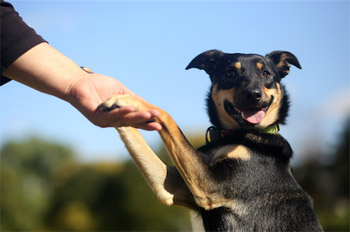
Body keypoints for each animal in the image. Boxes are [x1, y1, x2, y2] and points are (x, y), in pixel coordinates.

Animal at [101, 49, 322, 231]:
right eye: (230, 73)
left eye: (266, 74)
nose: (254, 95)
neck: (236, 134)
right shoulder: (171, 187)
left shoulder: (210, 186)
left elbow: (166, 116)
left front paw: (129, 100)